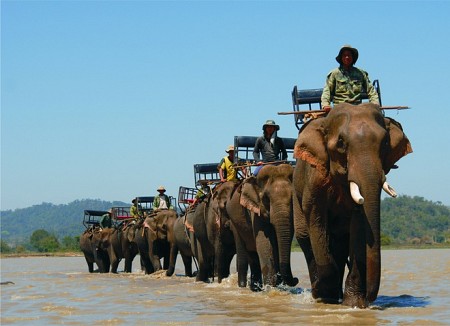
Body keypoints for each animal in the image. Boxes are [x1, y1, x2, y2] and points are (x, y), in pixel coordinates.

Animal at [294, 102, 414, 308]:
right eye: (341, 143)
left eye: (385, 143)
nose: (370, 297)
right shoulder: (315, 177)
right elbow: (316, 218)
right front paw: (325, 295)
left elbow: (359, 222)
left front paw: (354, 305)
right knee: (305, 237)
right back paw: (320, 293)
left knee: (340, 243)